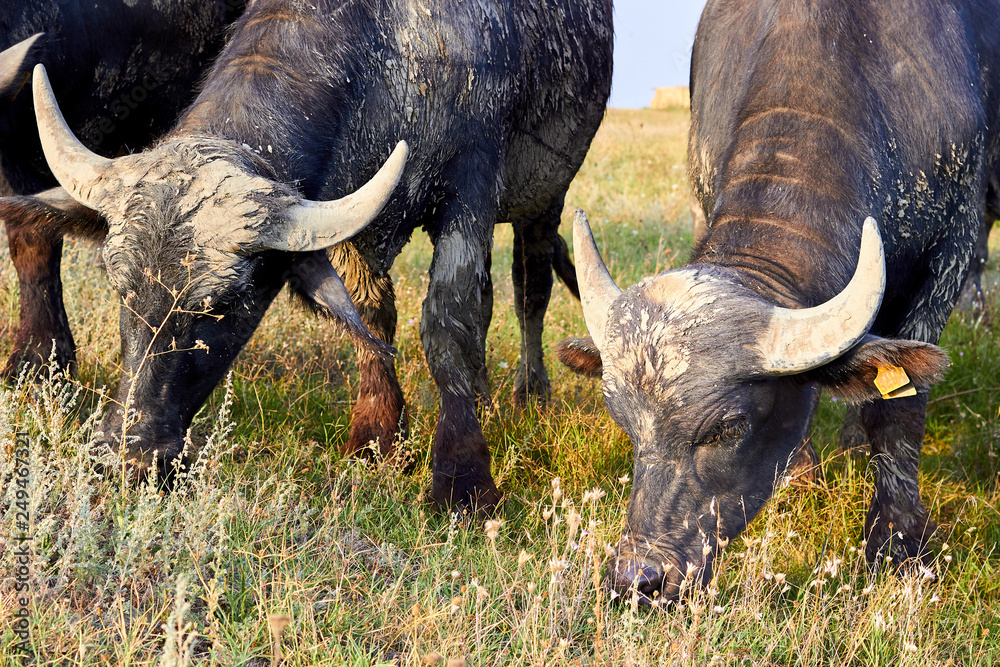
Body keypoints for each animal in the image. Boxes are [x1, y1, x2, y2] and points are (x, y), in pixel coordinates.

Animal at [559, 0, 997, 602]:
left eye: (729, 427)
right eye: (624, 422)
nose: (638, 579)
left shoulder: (947, 254)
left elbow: (899, 411)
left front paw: (899, 545)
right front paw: (801, 479)